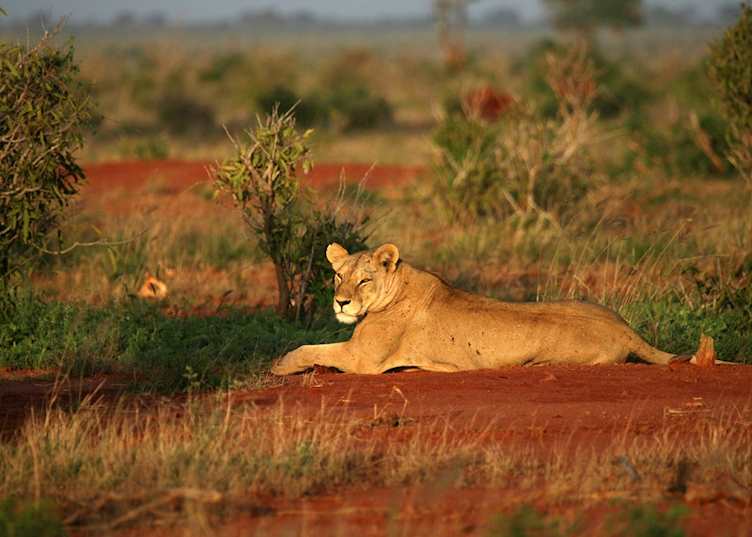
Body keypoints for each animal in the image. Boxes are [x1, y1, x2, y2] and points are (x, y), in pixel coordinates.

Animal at [271, 242, 699, 375]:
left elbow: (305, 349)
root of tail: (627, 328)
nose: (341, 301)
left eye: (364, 281)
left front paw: (278, 365)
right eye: (337, 276)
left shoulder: (362, 359)